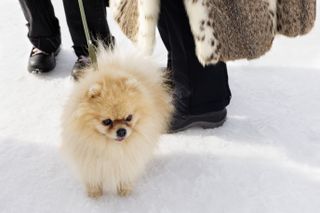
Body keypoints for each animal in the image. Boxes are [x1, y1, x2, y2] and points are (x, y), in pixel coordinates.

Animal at [60, 46, 172, 198]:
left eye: (129, 117)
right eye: (107, 121)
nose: (121, 131)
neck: (111, 147)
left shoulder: (127, 161)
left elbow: (125, 176)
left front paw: (124, 193)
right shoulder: (90, 162)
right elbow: (93, 179)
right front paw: (94, 196)